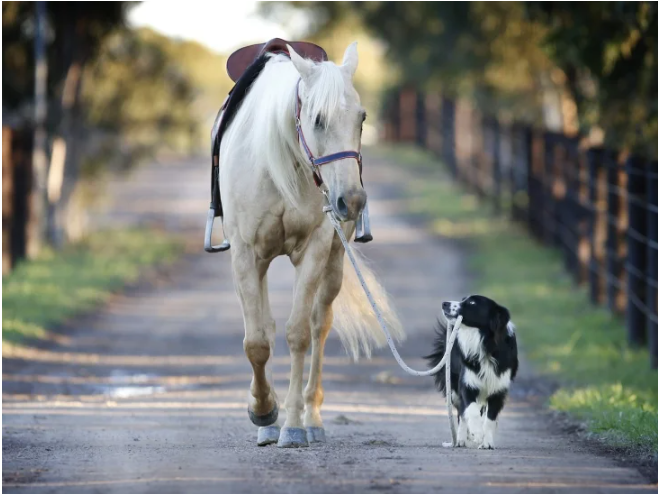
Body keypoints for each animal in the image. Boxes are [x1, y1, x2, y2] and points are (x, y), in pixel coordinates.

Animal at [220, 42, 402, 448]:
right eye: (317, 120)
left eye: (362, 119)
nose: (352, 201)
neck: (282, 165)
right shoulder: (245, 255)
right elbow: (256, 341)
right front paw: (263, 412)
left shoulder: (316, 248)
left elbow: (299, 333)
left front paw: (292, 424)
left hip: (334, 260)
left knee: (321, 324)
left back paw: (312, 418)